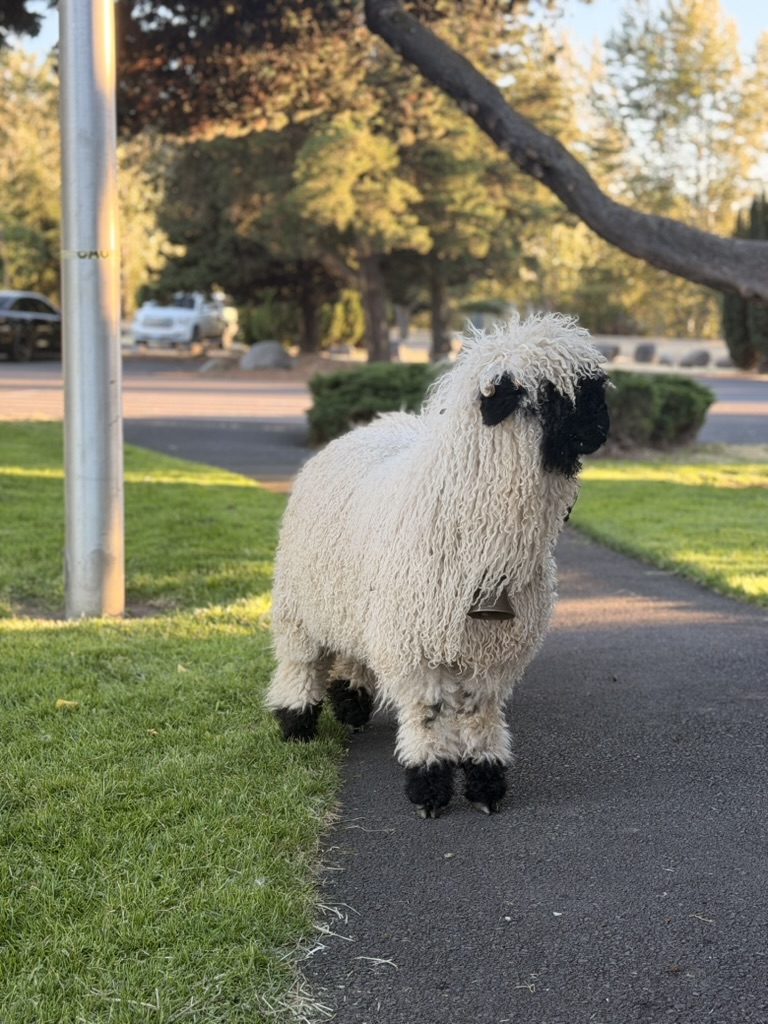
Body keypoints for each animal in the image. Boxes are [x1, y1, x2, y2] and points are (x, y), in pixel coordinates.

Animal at [266, 313, 610, 817]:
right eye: (549, 393)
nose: (602, 428)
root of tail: (375, 424)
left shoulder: (492, 649)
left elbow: (480, 712)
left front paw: (486, 780)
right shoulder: (416, 647)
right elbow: (430, 715)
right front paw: (429, 784)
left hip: (356, 602)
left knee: (352, 651)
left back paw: (351, 703)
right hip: (300, 603)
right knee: (301, 662)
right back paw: (296, 723)